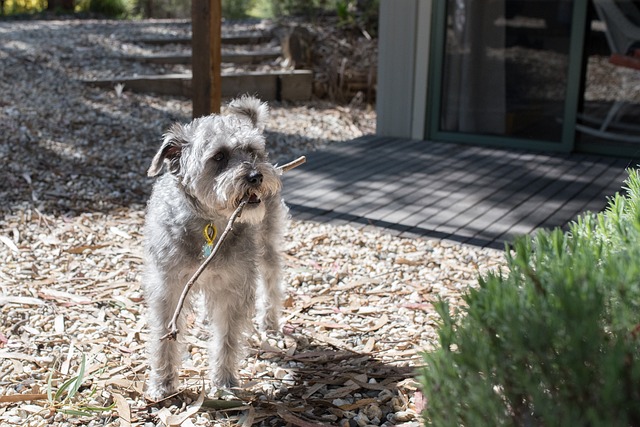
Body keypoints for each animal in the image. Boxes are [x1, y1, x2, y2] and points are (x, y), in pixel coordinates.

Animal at [144, 95, 288, 400]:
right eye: (219, 156)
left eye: (252, 151)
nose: (256, 176)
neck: (210, 223)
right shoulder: (168, 287)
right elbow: (164, 338)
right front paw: (163, 384)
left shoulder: (233, 287)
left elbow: (227, 338)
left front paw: (224, 383)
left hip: (267, 246)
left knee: (272, 281)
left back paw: (270, 324)